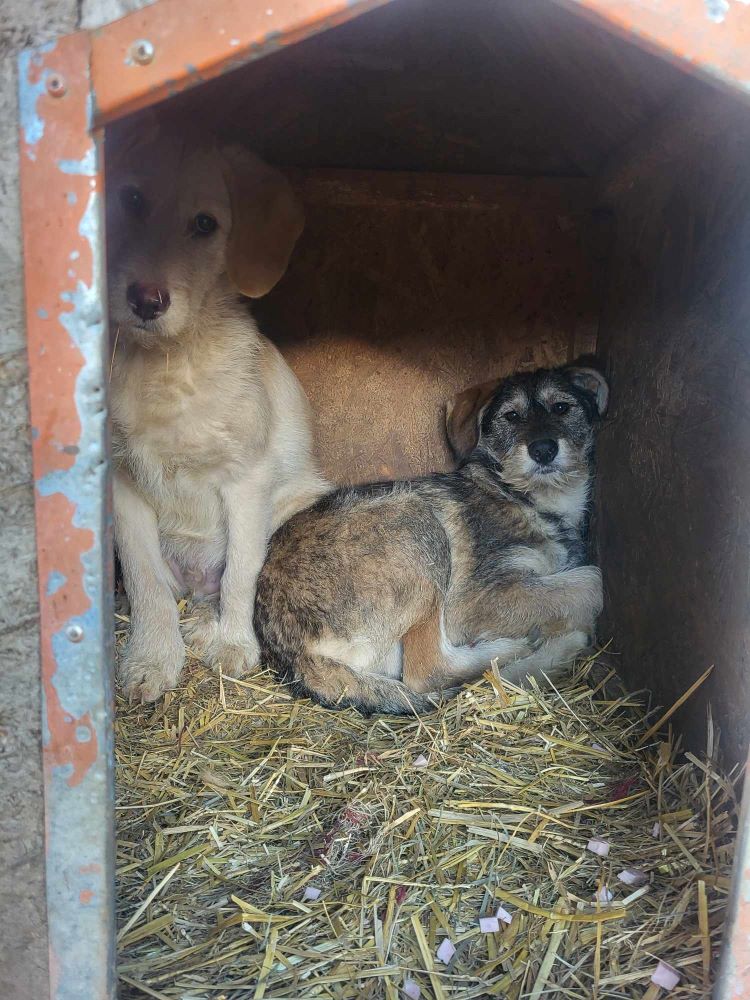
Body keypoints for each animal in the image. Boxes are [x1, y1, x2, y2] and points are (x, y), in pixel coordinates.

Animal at [109, 125, 328, 700]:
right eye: (131, 200)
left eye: (205, 224)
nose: (147, 299)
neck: (167, 366)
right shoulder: (122, 483)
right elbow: (143, 581)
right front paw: (152, 658)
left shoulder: (245, 480)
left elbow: (242, 573)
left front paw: (233, 645)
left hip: (293, 506)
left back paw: (212, 625)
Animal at [256, 364, 608, 716]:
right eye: (511, 416)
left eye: (561, 407)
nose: (543, 449)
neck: (527, 498)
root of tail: (295, 656)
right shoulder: (477, 600)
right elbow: (591, 580)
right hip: (419, 525)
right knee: (429, 672)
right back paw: (530, 648)